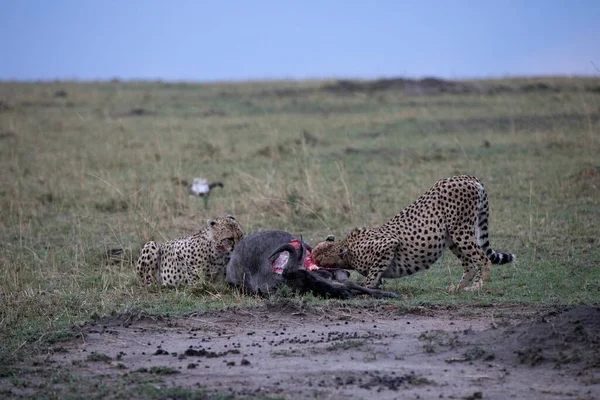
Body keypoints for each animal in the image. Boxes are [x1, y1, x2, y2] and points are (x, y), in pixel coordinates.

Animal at [312, 177, 512, 292]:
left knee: (483, 259)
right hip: (452, 238)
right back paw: (458, 288)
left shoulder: (388, 245)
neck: (346, 247)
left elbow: (372, 274)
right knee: (470, 265)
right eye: (314, 252)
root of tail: (465, 176)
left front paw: (365, 289)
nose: (312, 260)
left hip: (461, 231)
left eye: (319, 257)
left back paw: (476, 287)